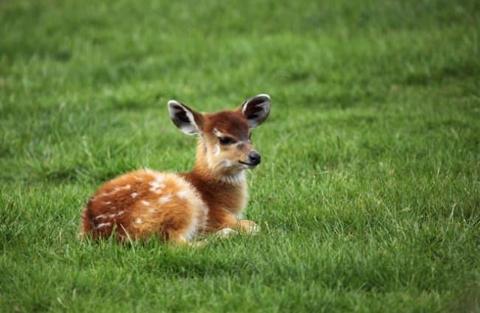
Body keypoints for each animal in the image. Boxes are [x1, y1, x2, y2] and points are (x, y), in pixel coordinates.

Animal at [80, 92, 272, 244]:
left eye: (250, 134)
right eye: (224, 139)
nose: (255, 156)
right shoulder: (217, 216)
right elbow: (253, 226)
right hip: (180, 203)